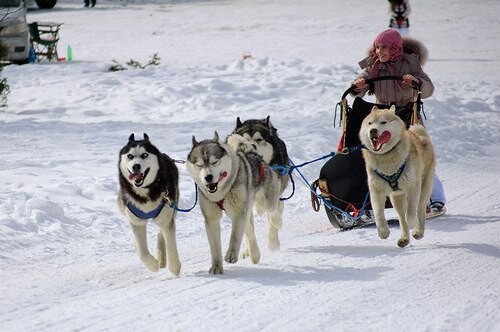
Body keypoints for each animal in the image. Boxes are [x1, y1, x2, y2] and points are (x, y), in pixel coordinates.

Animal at [117, 133, 182, 274]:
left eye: (144, 155)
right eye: (130, 156)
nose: (136, 166)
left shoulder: (166, 217)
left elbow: (171, 244)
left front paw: (175, 267)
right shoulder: (136, 222)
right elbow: (142, 252)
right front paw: (152, 265)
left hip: (171, 210)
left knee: (161, 233)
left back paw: (162, 257)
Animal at [187, 131, 284, 274]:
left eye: (215, 161)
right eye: (199, 165)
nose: (208, 177)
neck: (221, 193)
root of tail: (252, 153)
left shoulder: (238, 213)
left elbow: (235, 237)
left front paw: (231, 255)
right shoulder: (211, 219)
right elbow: (215, 247)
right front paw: (216, 267)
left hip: (264, 200)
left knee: (272, 212)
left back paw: (277, 223)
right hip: (245, 211)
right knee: (250, 231)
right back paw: (255, 254)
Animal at [229, 116, 290, 249]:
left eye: (259, 139)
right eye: (245, 139)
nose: (252, 145)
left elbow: (272, 216)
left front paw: (273, 242)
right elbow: (248, 230)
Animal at [358, 105, 436, 248]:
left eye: (383, 122)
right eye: (369, 123)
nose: (372, 131)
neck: (387, 157)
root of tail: (420, 137)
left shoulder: (413, 188)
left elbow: (410, 214)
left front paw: (412, 222)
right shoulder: (376, 191)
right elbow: (378, 214)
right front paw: (383, 231)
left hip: (424, 189)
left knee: (420, 209)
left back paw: (418, 231)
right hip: (396, 197)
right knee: (401, 218)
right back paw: (404, 238)